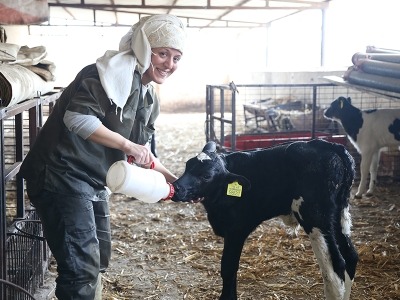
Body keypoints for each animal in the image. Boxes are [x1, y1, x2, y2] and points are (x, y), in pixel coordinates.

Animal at [172, 139, 356, 300]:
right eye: (187, 166)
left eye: (206, 176)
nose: (176, 188)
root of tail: (327, 145)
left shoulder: (236, 230)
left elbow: (228, 267)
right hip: (337, 216)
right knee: (351, 257)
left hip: (316, 218)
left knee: (335, 268)